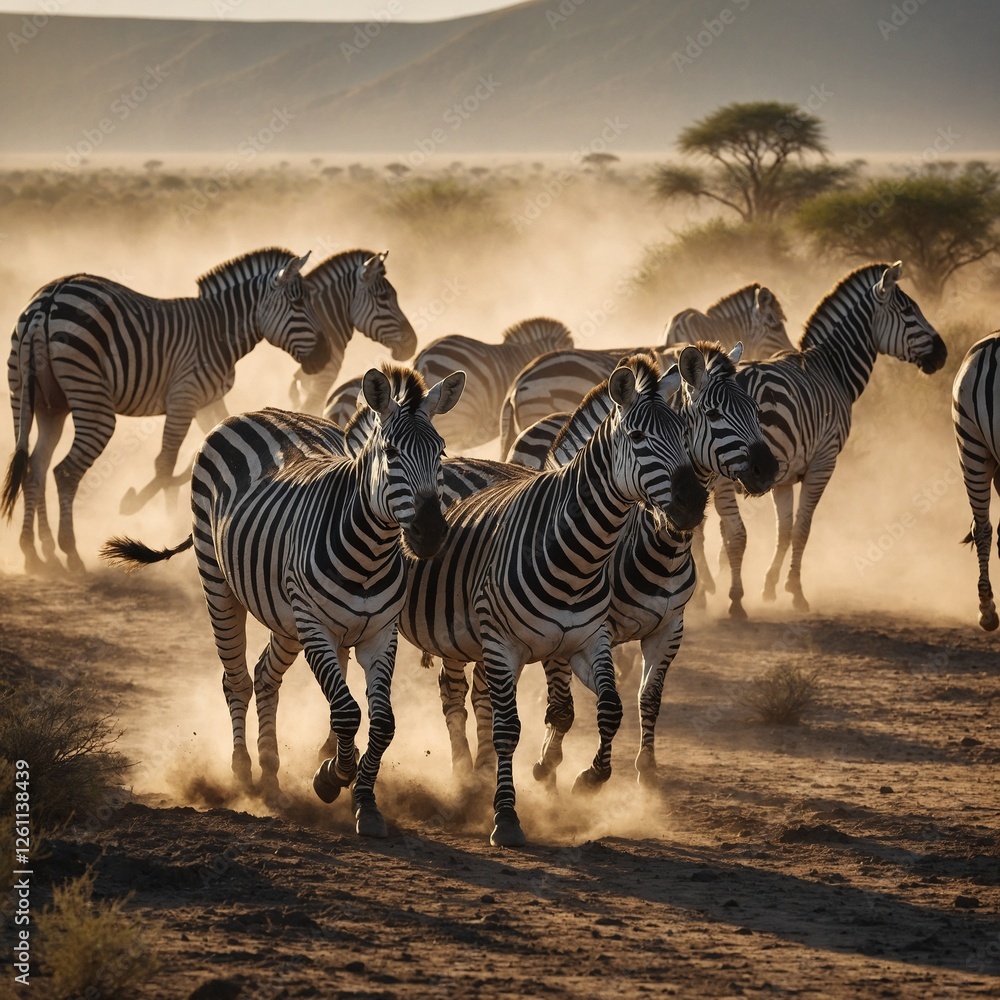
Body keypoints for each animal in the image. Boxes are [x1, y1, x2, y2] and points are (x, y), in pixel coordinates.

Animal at [2, 248, 327, 573]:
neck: (218, 331)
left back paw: (37, 553)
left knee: (34, 468)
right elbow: (165, 464)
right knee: (64, 471)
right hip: (91, 400)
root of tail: (51, 297)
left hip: (38, 402)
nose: (322, 359)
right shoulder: (184, 396)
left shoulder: (206, 401)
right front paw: (147, 512)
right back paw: (69, 552)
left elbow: (205, 447)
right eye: (298, 302)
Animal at [101, 365, 465, 838]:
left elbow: (382, 723)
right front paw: (331, 778)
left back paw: (271, 774)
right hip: (219, 582)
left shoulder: (379, 635)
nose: (431, 535)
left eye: (441, 453)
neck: (371, 553)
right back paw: (242, 773)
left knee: (264, 675)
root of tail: (262, 410)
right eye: (391, 453)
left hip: (285, 617)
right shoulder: (315, 625)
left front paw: (365, 803)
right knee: (236, 679)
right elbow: (346, 712)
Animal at [399, 353, 709, 846]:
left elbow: (613, 706)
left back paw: (471, 777)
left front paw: (590, 780)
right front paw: (515, 808)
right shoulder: (526, 647)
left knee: (464, 694)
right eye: (638, 438)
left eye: (684, 433)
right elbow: (531, 721)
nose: (694, 503)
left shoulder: (596, 639)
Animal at [714, 261, 947, 618]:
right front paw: (795, 591)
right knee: (731, 532)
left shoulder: (782, 475)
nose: (944, 354)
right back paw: (732, 598)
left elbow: (784, 531)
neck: (833, 370)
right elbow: (802, 528)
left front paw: (769, 586)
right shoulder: (824, 460)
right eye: (909, 312)